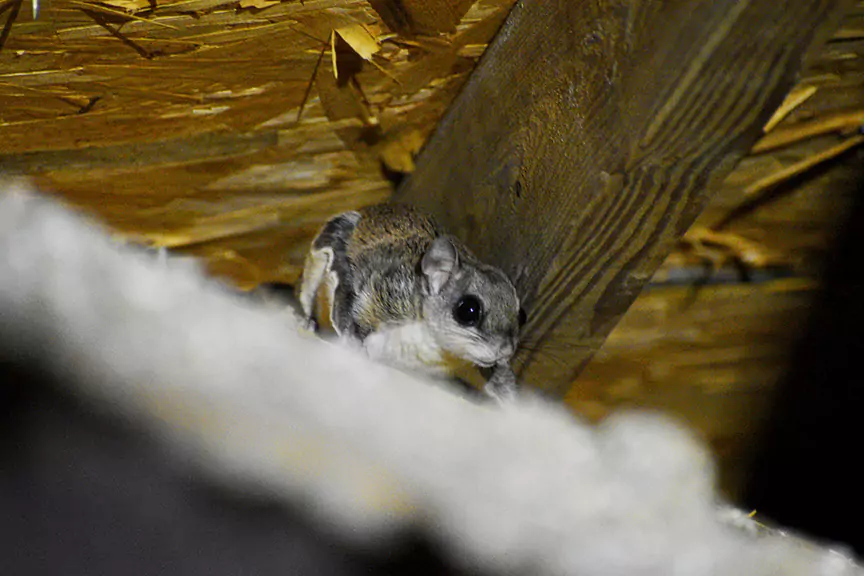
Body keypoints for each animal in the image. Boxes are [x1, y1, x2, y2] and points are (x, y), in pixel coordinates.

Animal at [296, 204, 525, 400]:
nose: (505, 351)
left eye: (522, 316)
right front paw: (355, 344)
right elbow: (347, 308)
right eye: (468, 310)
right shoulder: (376, 288)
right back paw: (307, 321)